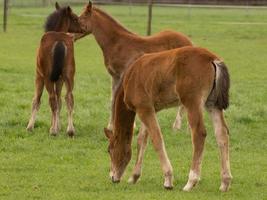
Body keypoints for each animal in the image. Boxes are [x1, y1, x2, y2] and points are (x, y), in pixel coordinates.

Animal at [26, 2, 84, 136]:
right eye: (75, 18)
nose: (83, 28)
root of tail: (60, 41)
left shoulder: (39, 76)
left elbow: (36, 100)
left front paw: (30, 126)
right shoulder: (60, 79)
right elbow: (59, 101)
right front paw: (58, 126)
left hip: (47, 77)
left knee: (51, 99)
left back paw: (52, 131)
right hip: (69, 75)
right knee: (69, 98)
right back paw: (70, 130)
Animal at [77, 1, 193, 131]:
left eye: (81, 17)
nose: (70, 34)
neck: (117, 43)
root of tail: (189, 42)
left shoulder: (123, 75)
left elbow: (119, 99)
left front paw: (130, 125)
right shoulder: (114, 76)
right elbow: (112, 99)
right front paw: (111, 126)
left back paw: (178, 126)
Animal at [104, 46, 232, 191]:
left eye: (109, 150)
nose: (112, 177)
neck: (130, 78)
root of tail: (212, 58)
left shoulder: (143, 109)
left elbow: (156, 139)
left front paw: (168, 179)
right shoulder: (150, 109)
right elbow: (142, 140)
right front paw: (134, 176)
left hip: (192, 102)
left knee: (199, 134)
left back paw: (191, 181)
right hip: (212, 104)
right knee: (222, 133)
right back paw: (225, 182)